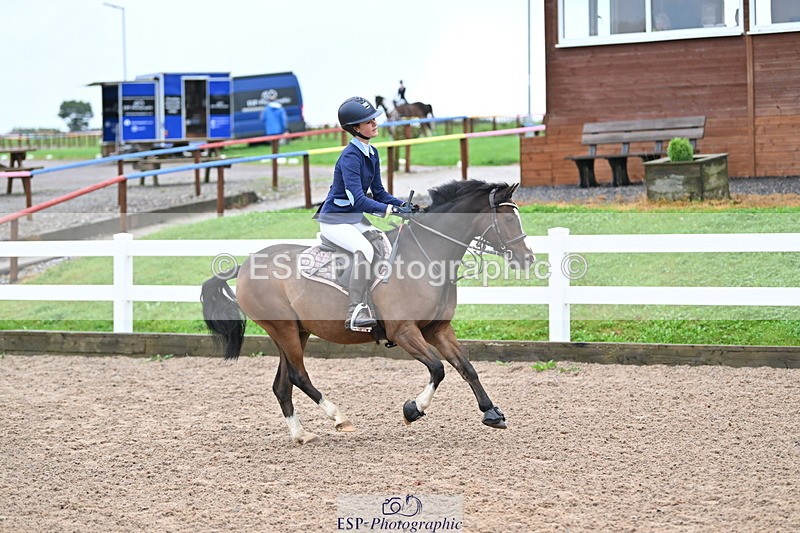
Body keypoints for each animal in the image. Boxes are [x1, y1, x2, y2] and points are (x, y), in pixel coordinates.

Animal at [201, 180, 535, 444]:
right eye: (508, 220)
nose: (528, 259)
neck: (428, 254)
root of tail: (245, 264)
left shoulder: (437, 329)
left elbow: (466, 368)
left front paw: (491, 412)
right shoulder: (404, 331)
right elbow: (437, 368)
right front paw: (413, 410)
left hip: (296, 330)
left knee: (282, 385)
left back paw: (301, 434)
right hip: (282, 329)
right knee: (298, 375)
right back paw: (339, 417)